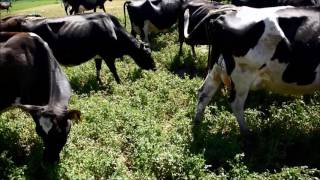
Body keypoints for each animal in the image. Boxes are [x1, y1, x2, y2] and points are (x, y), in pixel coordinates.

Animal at [0, 12, 155, 83]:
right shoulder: (107, 55)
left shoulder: (98, 55)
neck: (113, 29)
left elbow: (98, 68)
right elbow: (114, 70)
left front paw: (99, 81)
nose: (155, 68)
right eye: (147, 55)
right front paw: (119, 83)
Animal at [190, 5, 320, 135]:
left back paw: (197, 123)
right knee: (236, 103)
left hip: (215, 68)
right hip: (242, 75)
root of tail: (228, 11)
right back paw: (247, 133)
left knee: (204, 93)